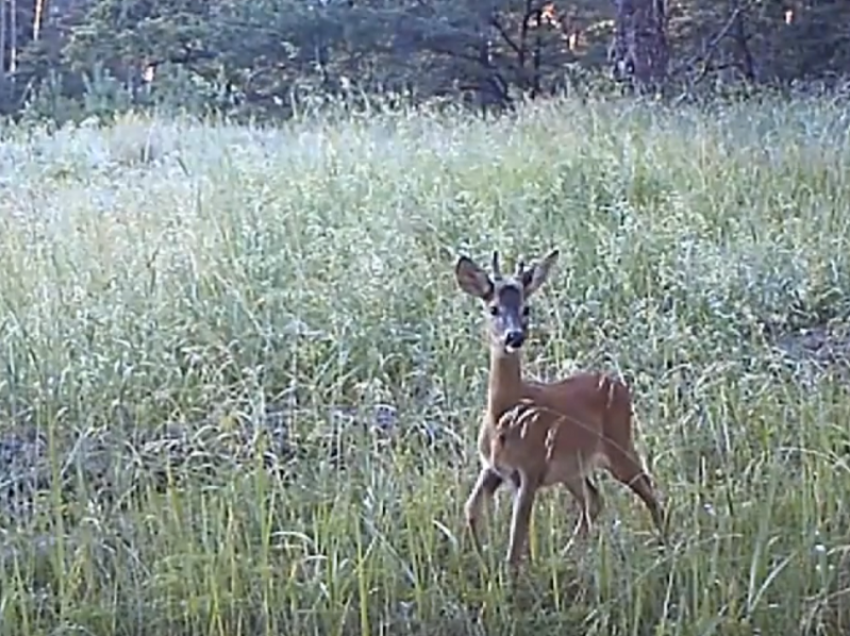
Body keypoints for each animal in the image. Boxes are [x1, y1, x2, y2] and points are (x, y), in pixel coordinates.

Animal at [454, 247, 664, 568]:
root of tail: (619, 385)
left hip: (619, 445)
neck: (505, 415)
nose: (514, 336)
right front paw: (479, 559)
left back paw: (665, 545)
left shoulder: (530, 470)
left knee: (648, 490)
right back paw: (569, 554)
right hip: (572, 468)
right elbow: (471, 510)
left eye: (527, 308)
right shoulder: (492, 468)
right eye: (493, 308)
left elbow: (515, 543)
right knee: (595, 500)